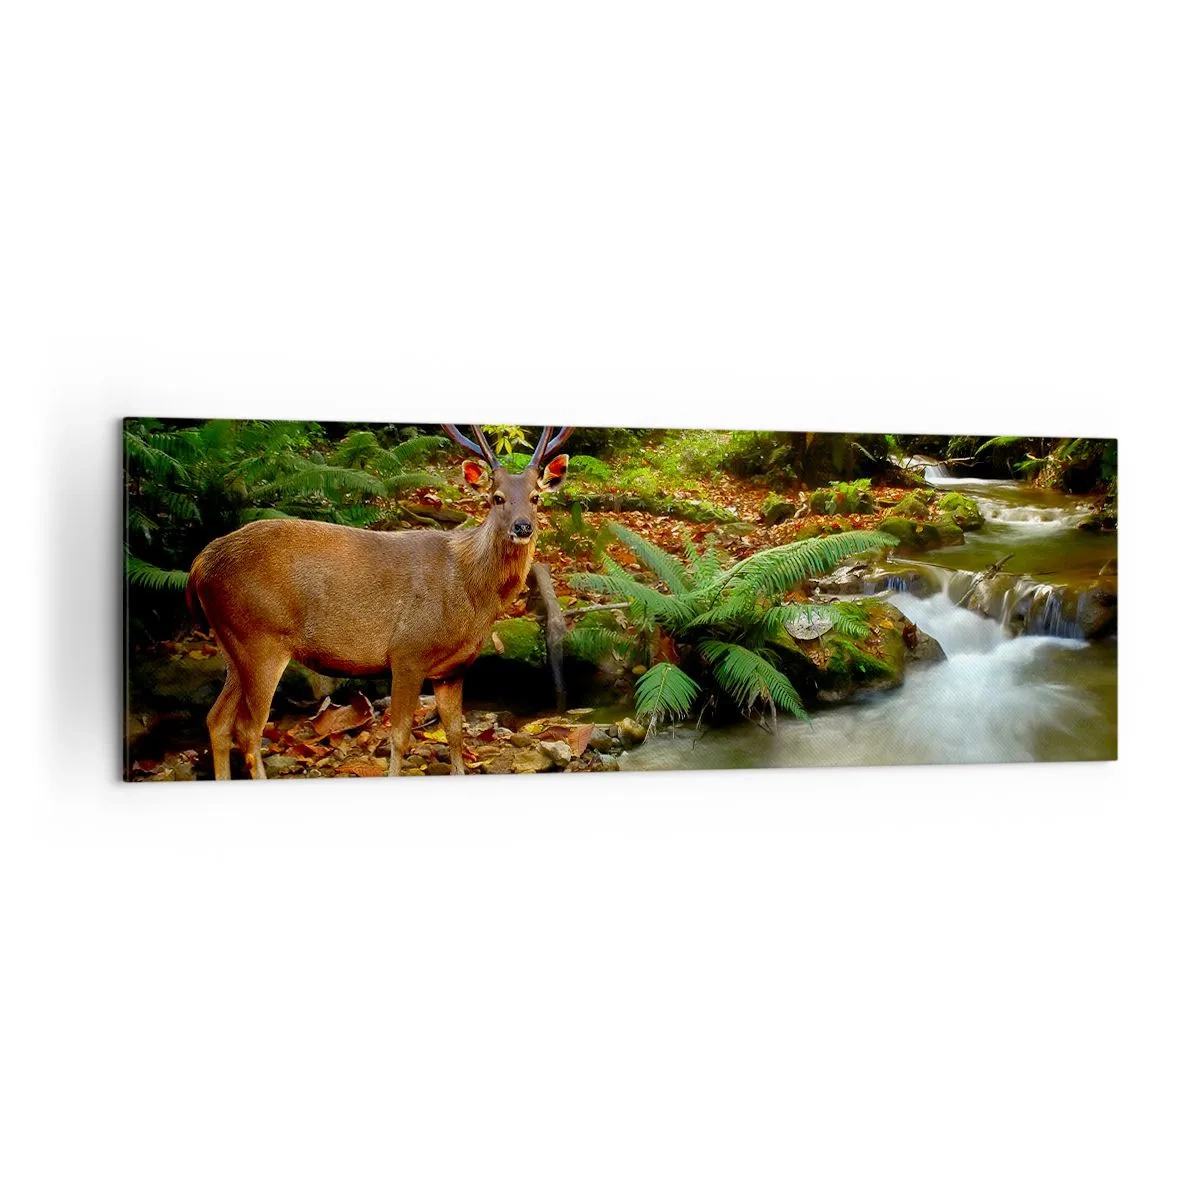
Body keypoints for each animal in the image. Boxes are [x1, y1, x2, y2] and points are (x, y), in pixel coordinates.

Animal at [185, 424, 573, 779]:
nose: (522, 527)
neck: (471, 592)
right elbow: (399, 736)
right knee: (249, 731)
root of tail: (199, 564)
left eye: (536, 497)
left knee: (216, 720)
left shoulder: (453, 668)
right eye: (497, 497)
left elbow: (455, 734)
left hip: (232, 644)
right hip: (260, 638)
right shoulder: (407, 651)